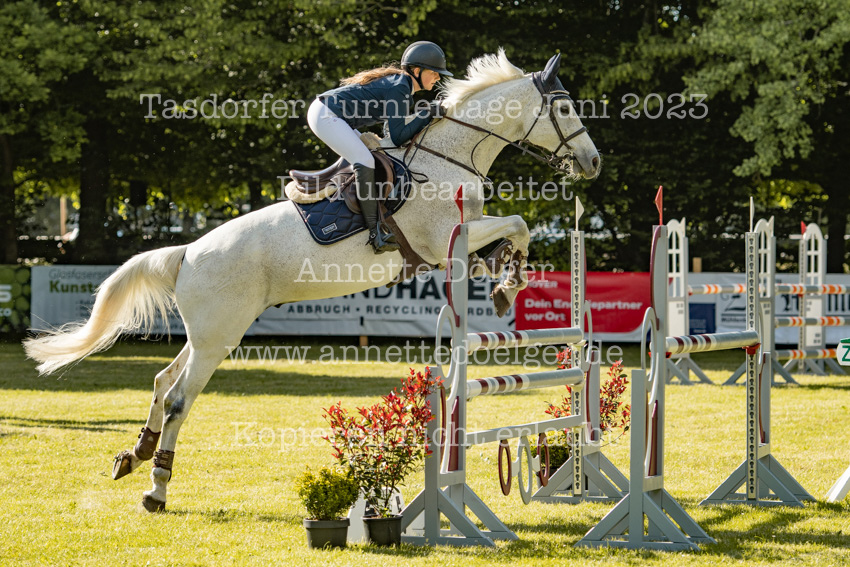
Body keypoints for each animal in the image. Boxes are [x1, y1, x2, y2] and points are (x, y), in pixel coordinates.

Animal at [23, 49, 600, 512]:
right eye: (565, 109)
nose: (592, 163)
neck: (452, 154)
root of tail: (186, 253)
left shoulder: (456, 248)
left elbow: (509, 240)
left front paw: (506, 284)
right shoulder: (443, 242)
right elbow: (519, 223)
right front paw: (507, 284)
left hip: (209, 332)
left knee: (165, 383)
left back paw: (133, 456)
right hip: (219, 337)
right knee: (181, 399)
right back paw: (157, 489)